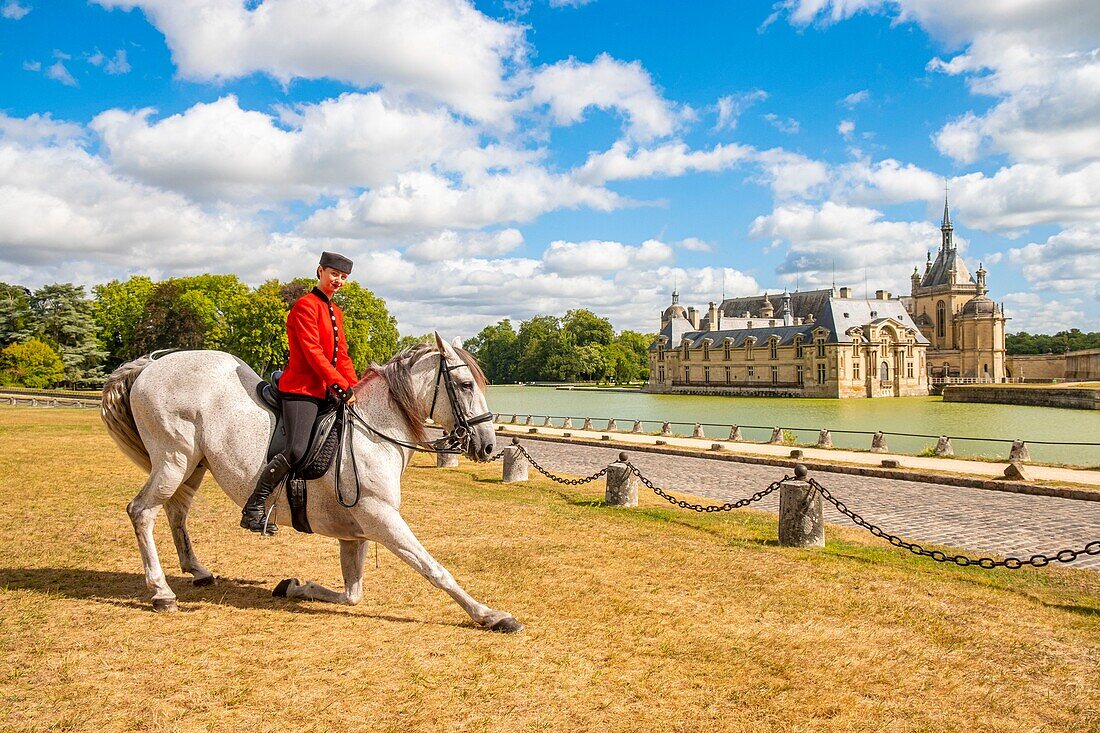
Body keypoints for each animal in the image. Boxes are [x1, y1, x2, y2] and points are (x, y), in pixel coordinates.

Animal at [100, 334, 523, 629]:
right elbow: (435, 569)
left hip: (193, 465)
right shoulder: (381, 518)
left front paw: (294, 587)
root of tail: (151, 366)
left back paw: (198, 572)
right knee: (142, 512)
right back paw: (161, 593)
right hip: (174, 459)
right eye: (466, 384)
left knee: (176, 511)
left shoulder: (356, 532)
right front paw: (489, 615)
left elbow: (352, 593)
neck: (375, 432)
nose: (488, 445)